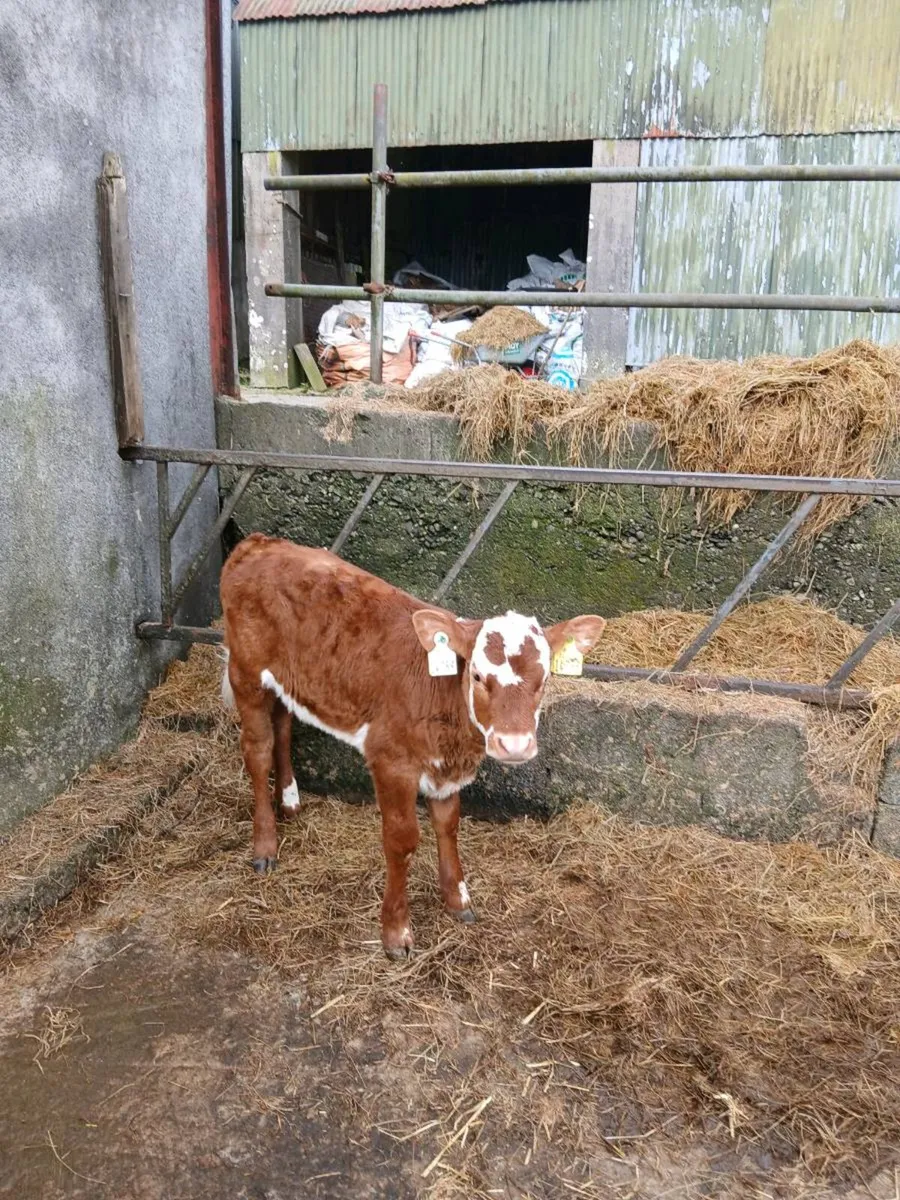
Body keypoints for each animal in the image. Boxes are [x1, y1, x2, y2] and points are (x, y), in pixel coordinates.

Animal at [219, 533, 605, 959]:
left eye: (543, 679)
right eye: (477, 675)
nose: (515, 744)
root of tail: (259, 543)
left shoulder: (447, 766)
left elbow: (448, 825)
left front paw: (458, 900)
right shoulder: (391, 761)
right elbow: (402, 840)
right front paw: (396, 932)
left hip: (289, 680)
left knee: (284, 727)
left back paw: (289, 801)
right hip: (246, 673)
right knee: (257, 749)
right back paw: (265, 847)